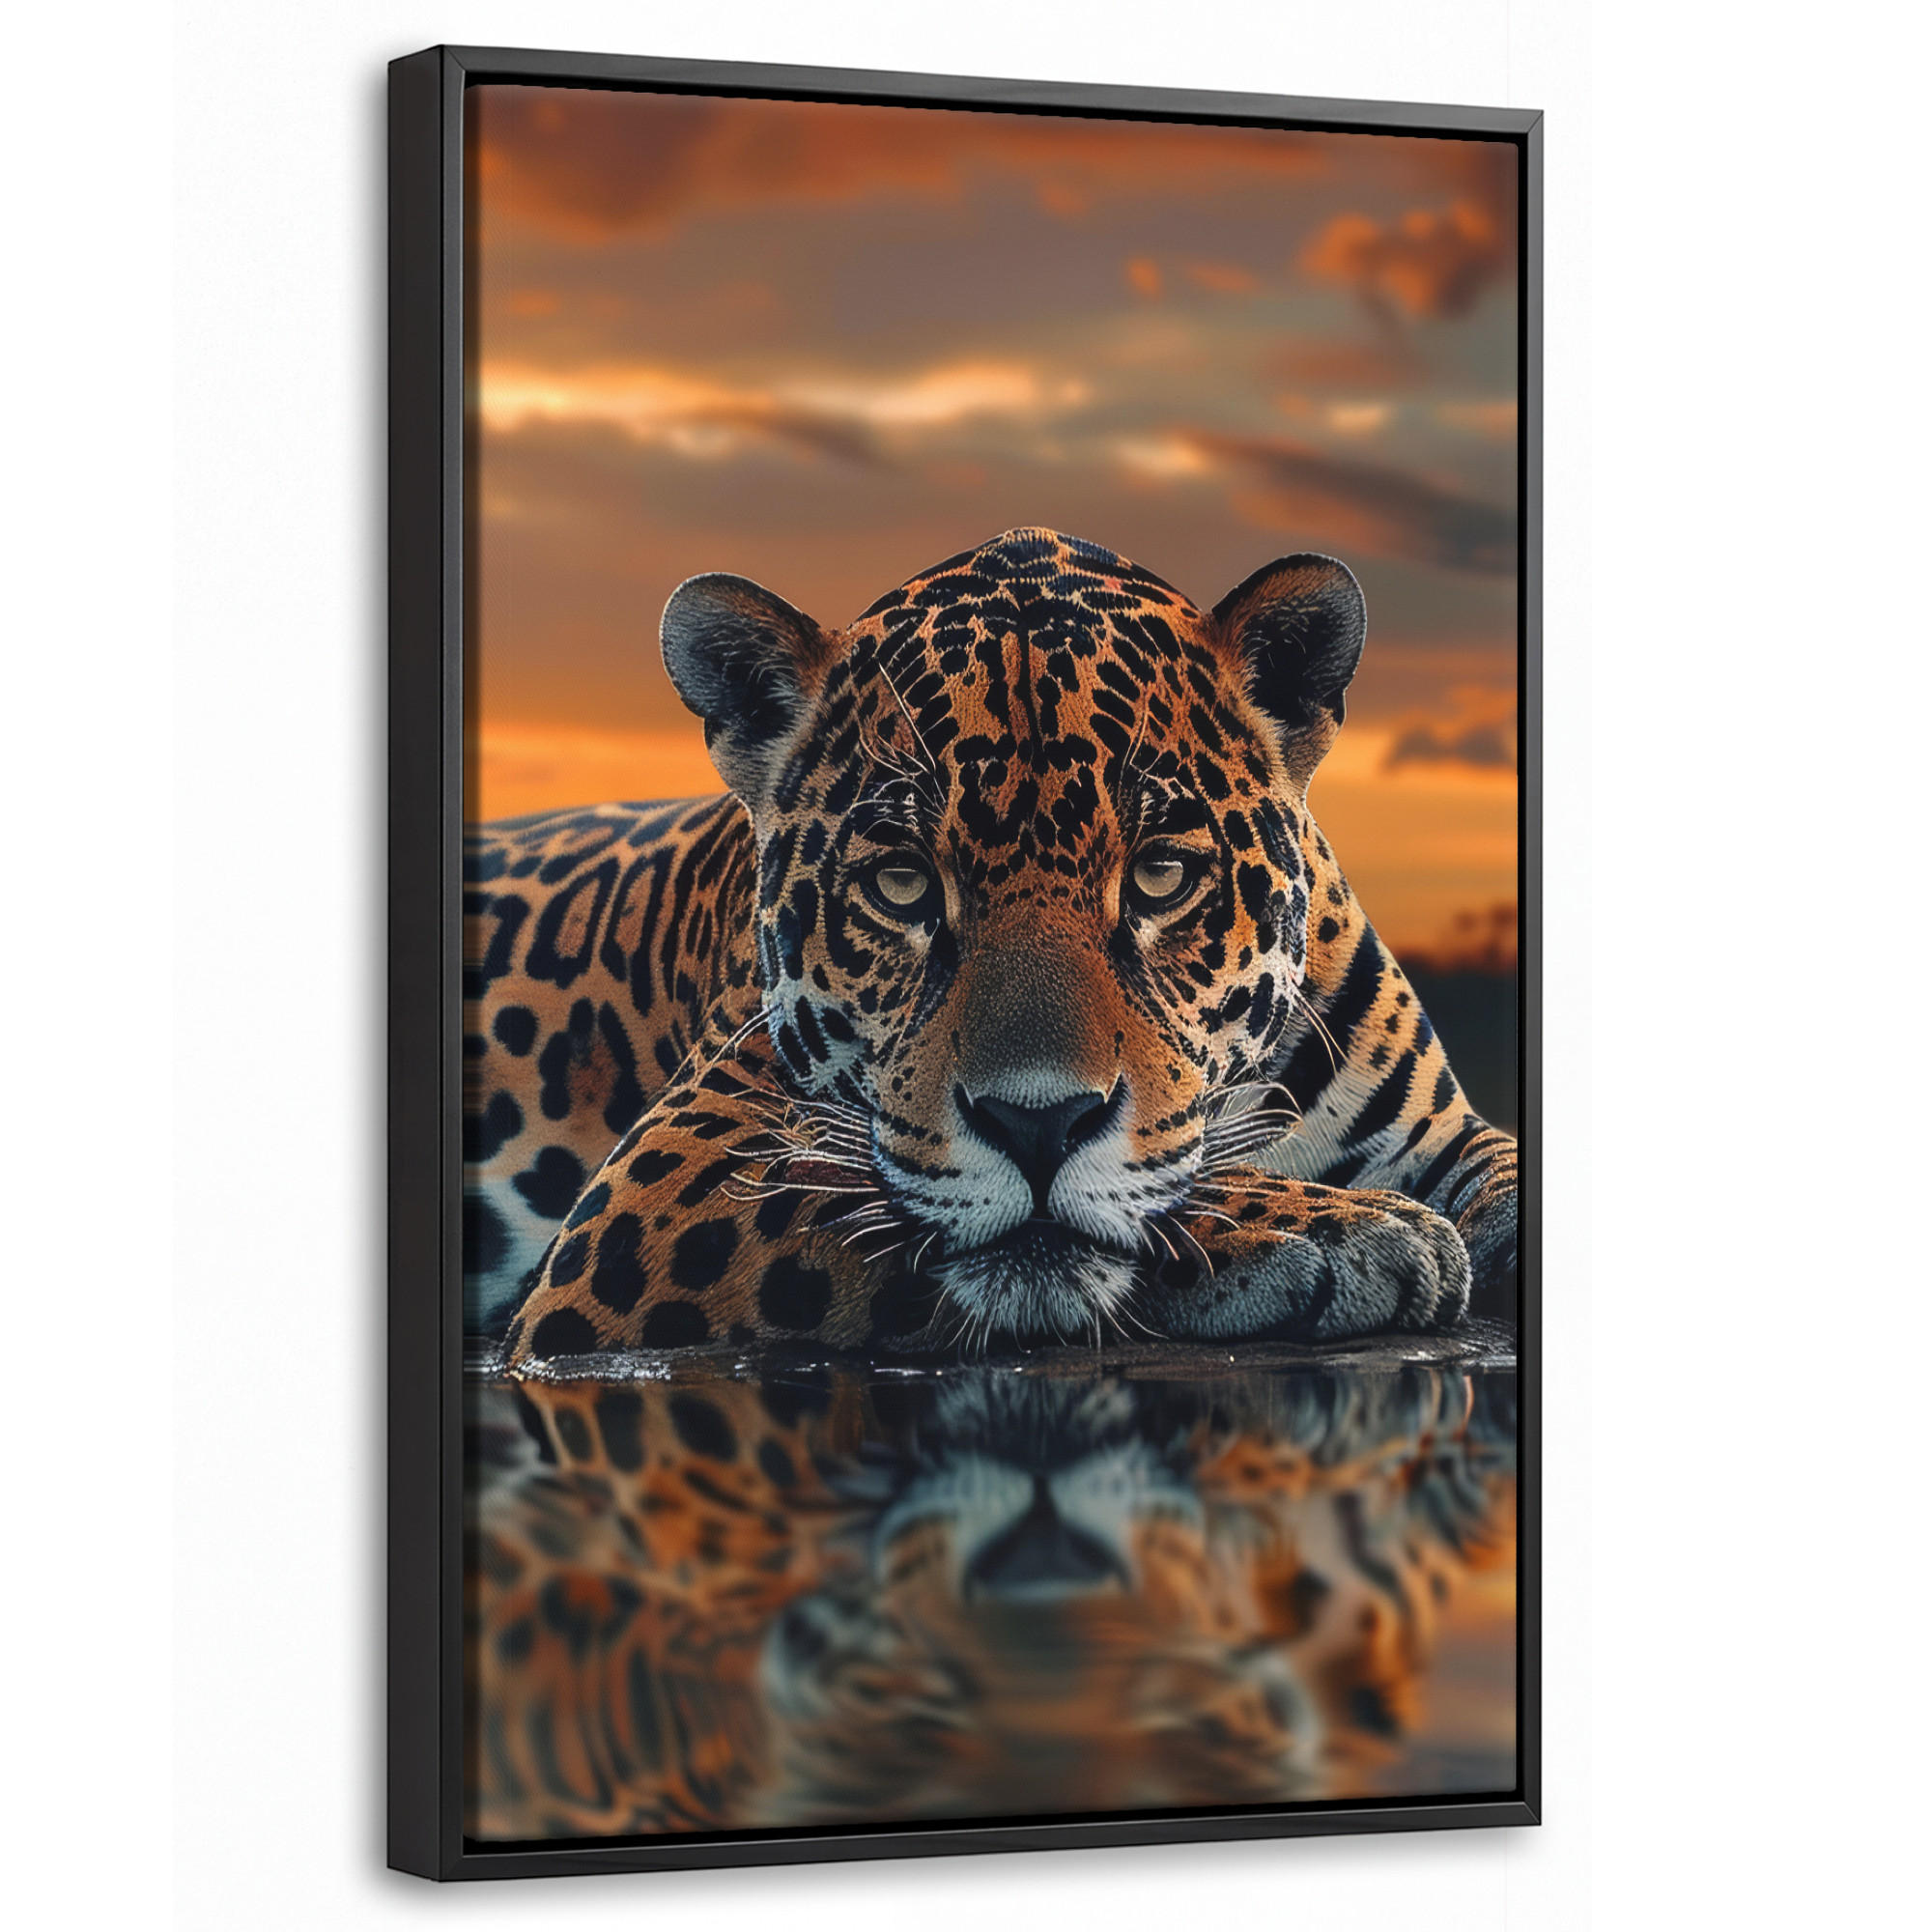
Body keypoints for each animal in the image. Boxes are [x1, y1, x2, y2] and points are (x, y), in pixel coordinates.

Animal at [462, 527, 1519, 1364]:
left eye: (1159, 876)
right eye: (901, 883)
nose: (1037, 1125)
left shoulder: (1442, 1133)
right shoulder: (667, 1179)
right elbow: (861, 1198)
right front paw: (1353, 1228)